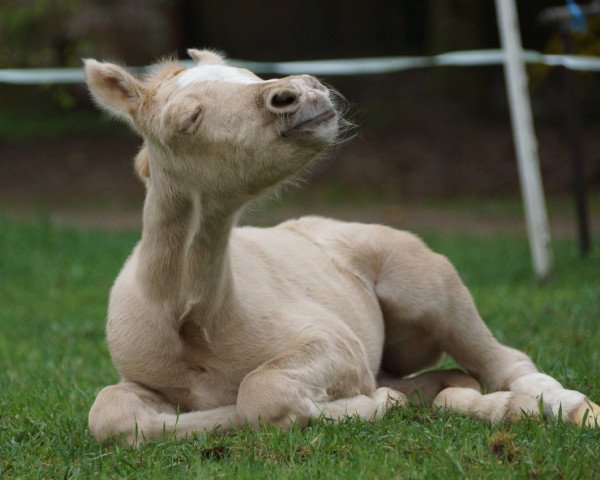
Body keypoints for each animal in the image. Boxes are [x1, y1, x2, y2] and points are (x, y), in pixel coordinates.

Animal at [82, 48, 596, 446]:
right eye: (187, 119)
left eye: (250, 76)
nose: (303, 91)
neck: (191, 318)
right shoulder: (139, 380)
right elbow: (111, 414)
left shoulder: (334, 341)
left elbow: (259, 392)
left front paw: (373, 404)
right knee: (449, 379)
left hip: (434, 292)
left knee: (503, 361)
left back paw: (565, 408)